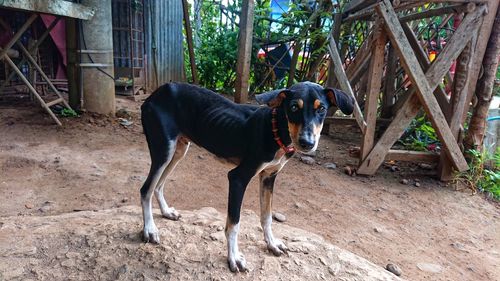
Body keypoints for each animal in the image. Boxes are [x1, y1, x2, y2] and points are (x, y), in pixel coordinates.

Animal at [139, 81, 354, 272]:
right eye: (293, 107)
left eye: (322, 109)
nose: (307, 143)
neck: (276, 130)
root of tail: (155, 94)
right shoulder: (237, 178)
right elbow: (234, 223)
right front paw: (234, 257)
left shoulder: (269, 176)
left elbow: (266, 216)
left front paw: (271, 243)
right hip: (164, 150)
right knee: (146, 189)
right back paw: (150, 229)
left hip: (179, 150)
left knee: (158, 185)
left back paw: (166, 211)